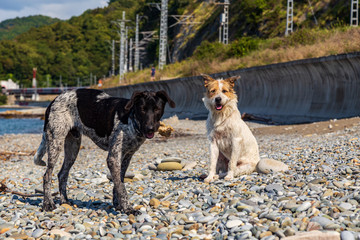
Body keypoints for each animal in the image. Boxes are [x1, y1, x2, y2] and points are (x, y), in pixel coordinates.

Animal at [33, 88, 176, 214]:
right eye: (142, 109)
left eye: (157, 109)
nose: (150, 128)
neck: (131, 120)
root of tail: (54, 100)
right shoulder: (113, 157)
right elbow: (121, 187)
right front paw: (127, 208)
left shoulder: (126, 156)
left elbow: (119, 182)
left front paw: (118, 205)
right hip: (55, 142)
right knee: (47, 175)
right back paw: (48, 204)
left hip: (73, 147)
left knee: (62, 174)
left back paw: (64, 201)